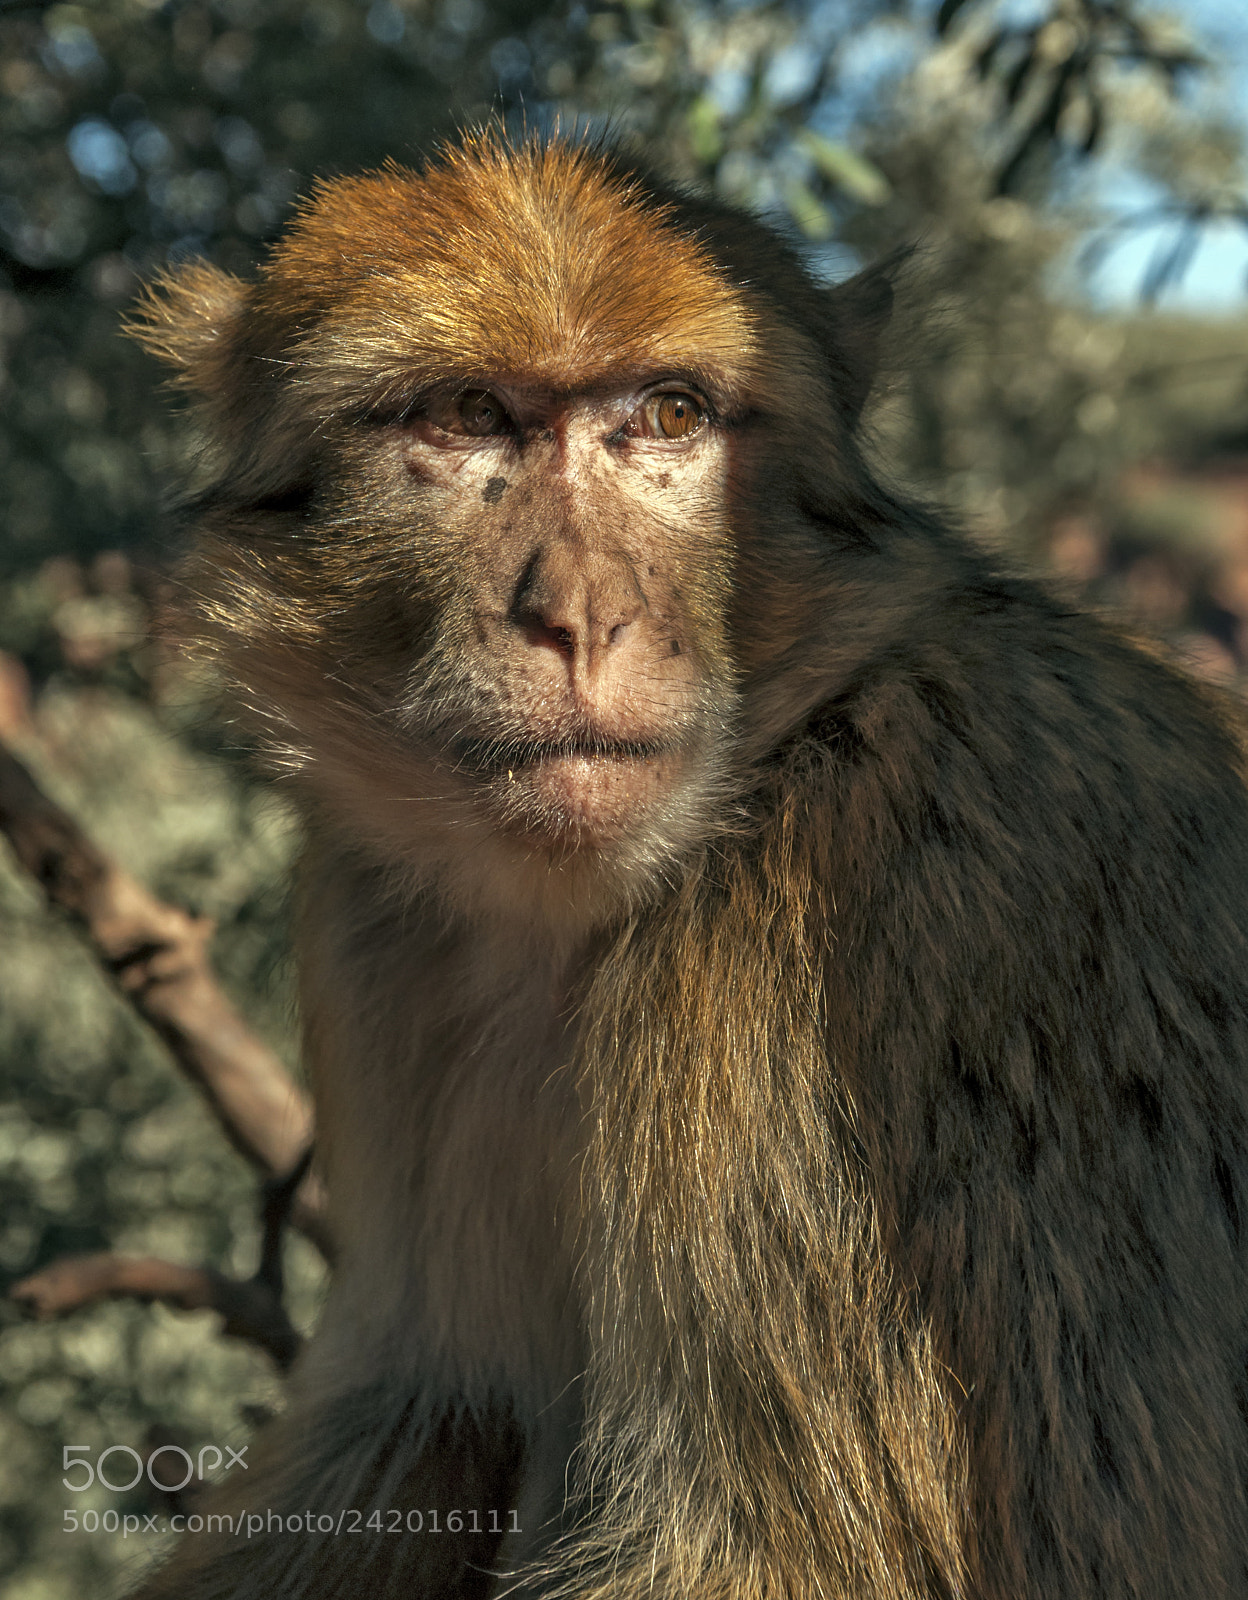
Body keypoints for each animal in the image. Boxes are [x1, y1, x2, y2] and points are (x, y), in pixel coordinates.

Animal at [122, 131, 1248, 1600]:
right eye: (471, 416)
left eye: (666, 418)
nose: (584, 614)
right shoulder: (383, 930)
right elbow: (421, 1416)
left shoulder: (799, 968)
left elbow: (766, 1548)